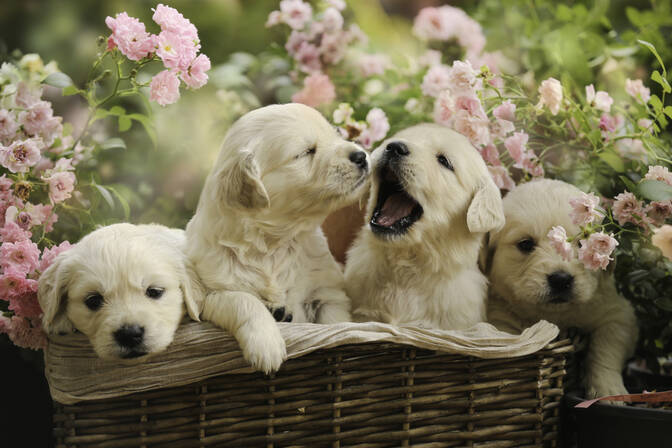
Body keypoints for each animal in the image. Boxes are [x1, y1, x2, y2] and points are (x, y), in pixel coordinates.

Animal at [186, 103, 370, 372]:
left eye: (335, 134)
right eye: (306, 152)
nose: (361, 156)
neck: (273, 243)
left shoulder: (327, 290)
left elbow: (334, 321)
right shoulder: (211, 292)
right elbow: (244, 300)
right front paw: (266, 345)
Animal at [486, 178, 636, 396]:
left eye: (583, 244)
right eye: (526, 244)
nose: (560, 279)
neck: (555, 314)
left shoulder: (616, 313)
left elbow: (606, 349)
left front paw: (609, 389)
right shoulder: (500, 319)